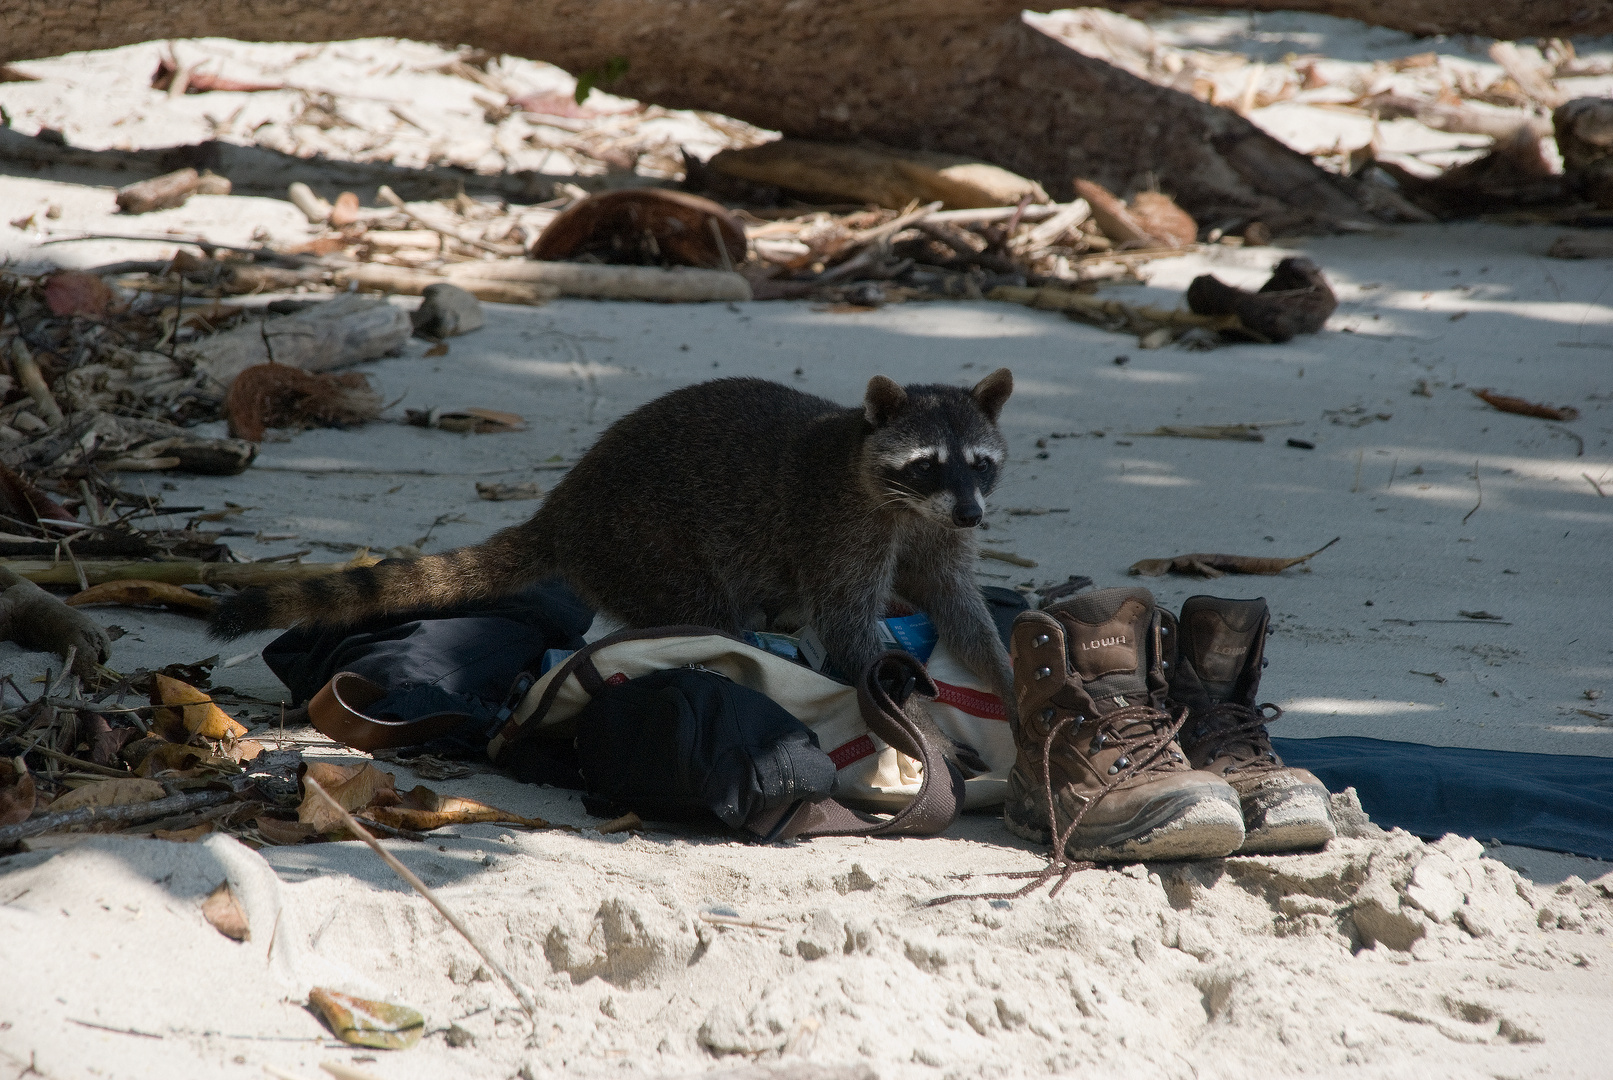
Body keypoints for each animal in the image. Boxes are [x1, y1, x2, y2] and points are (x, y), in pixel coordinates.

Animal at [212, 367, 1012, 747]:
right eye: (925, 464)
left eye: (979, 463)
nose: (975, 513)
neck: (902, 501)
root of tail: (566, 508)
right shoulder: (840, 527)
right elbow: (848, 627)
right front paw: (922, 720)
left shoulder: (936, 531)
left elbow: (958, 605)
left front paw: (1005, 676)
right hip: (647, 543)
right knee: (705, 609)